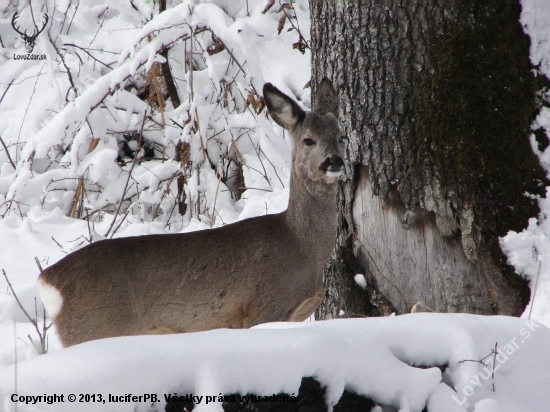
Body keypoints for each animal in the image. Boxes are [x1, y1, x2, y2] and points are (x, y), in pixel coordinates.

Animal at [38, 79, 348, 346]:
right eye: (308, 140)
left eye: (341, 136)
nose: (334, 161)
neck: (302, 247)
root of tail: (46, 281)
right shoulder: (264, 307)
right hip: (93, 329)